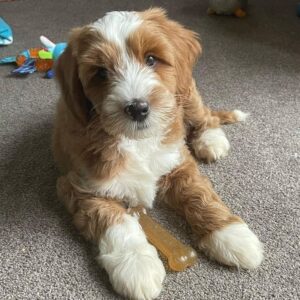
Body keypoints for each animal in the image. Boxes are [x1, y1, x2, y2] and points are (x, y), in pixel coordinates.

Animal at [52, 7, 264, 300]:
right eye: (101, 73)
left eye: (151, 59)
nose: (138, 108)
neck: (136, 141)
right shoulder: (78, 185)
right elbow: (115, 220)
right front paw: (136, 266)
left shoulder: (177, 159)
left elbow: (199, 194)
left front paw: (231, 235)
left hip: (186, 92)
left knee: (205, 116)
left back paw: (211, 140)